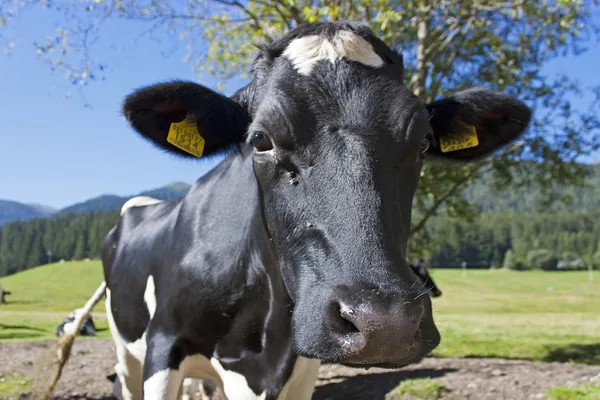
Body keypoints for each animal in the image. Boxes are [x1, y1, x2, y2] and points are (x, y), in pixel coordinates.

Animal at [59, 21, 528, 400]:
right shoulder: (163, 348)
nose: (386, 324)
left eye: (424, 141)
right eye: (261, 139)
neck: (262, 345)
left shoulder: (301, 369)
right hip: (126, 346)